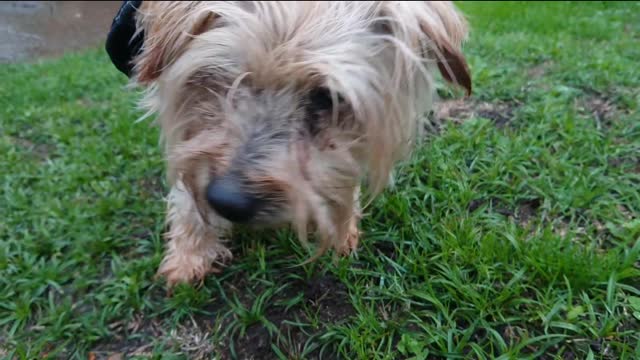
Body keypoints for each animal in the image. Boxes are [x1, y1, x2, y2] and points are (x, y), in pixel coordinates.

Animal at [120, 0, 470, 286]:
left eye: (327, 98)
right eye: (222, 79)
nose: (226, 200)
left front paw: (341, 222)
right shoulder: (192, 136)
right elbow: (187, 188)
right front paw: (189, 256)